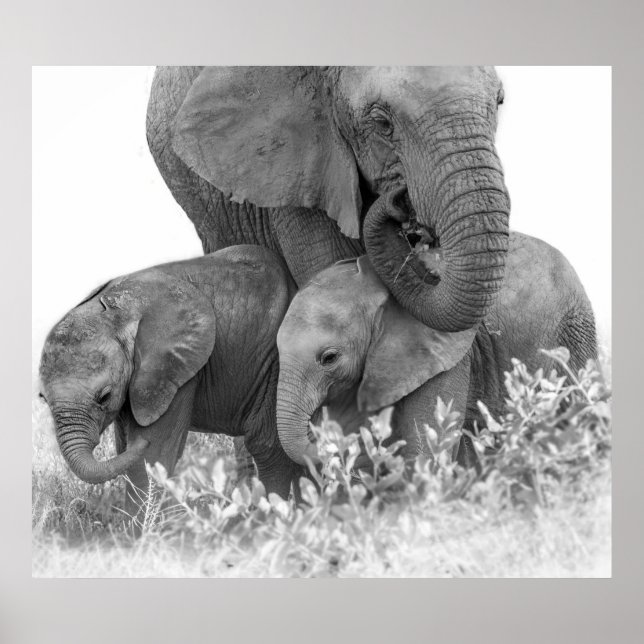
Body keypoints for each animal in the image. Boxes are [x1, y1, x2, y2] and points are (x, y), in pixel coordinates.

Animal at [38, 245, 303, 513]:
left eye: (104, 396)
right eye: (43, 399)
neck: (116, 312)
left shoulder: (173, 371)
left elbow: (152, 457)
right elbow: (126, 450)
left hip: (276, 361)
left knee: (267, 447)